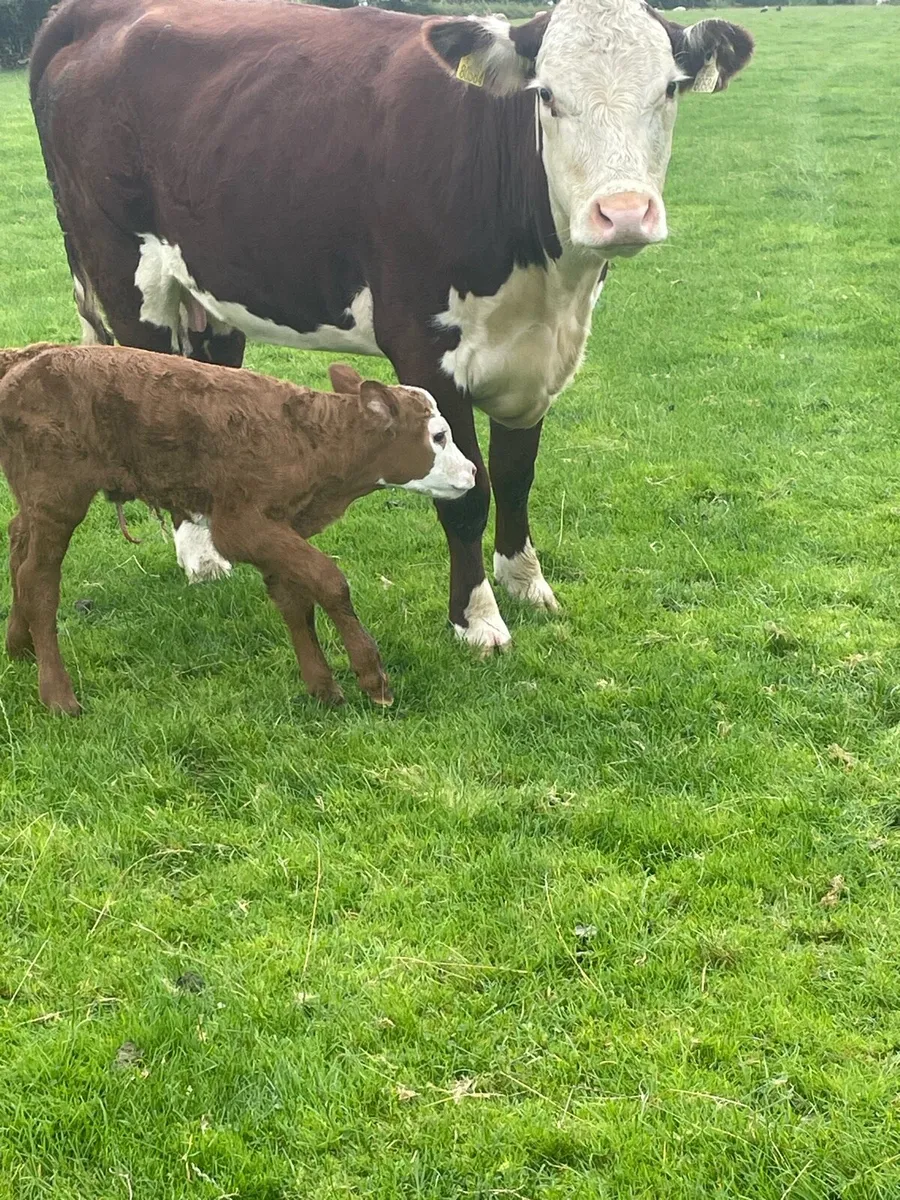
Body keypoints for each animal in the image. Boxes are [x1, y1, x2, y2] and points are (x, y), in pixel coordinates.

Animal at [0, 344, 476, 714]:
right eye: (438, 436)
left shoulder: (279, 529)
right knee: (38, 581)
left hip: (37, 500)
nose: (472, 471)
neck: (310, 441)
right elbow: (329, 581)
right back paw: (58, 696)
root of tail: (24, 359)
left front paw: (322, 687)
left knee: (18, 543)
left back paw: (19, 646)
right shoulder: (240, 526)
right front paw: (372, 678)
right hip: (57, 498)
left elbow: (295, 600)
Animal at [29, 0, 753, 652]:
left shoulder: (536, 359)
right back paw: (200, 556)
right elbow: (467, 492)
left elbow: (517, 475)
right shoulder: (426, 351)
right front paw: (478, 621)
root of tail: (88, 14)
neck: (552, 287)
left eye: (669, 88)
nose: (623, 212)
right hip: (128, 276)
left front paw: (525, 583)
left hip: (215, 288)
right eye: (546, 95)